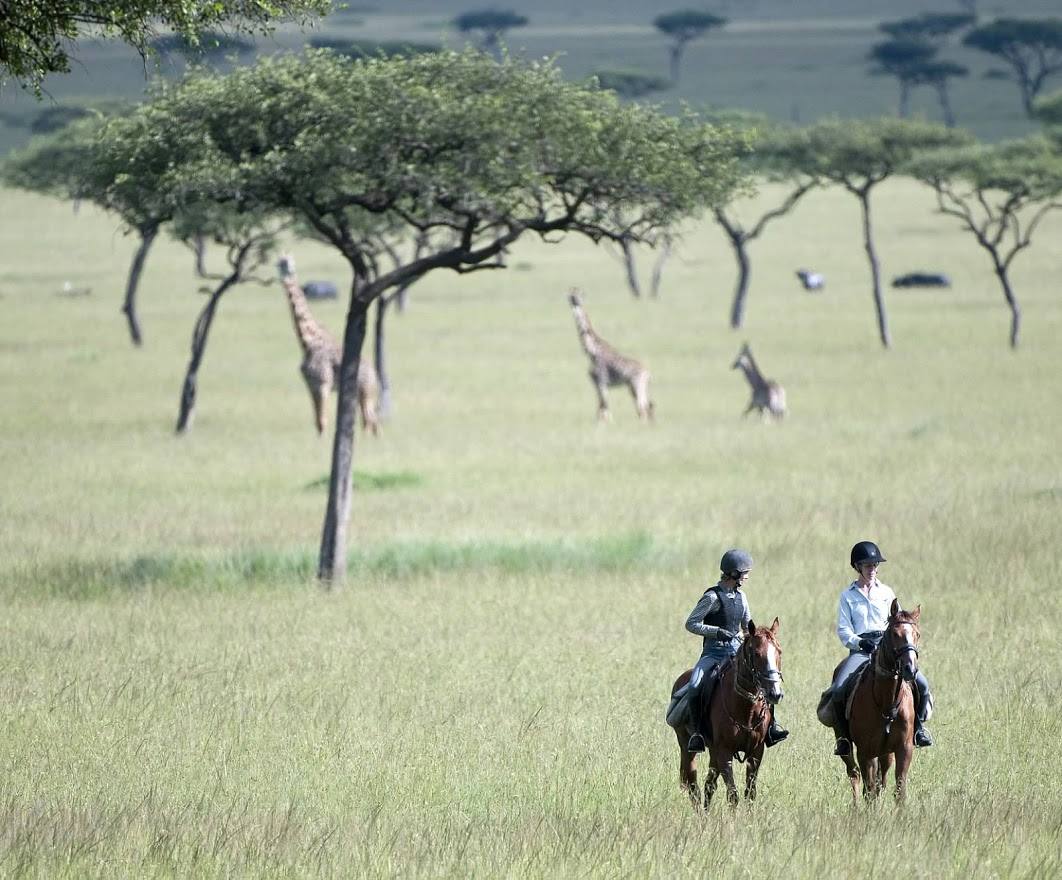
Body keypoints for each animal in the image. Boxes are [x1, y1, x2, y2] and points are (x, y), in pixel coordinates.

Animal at [669, 618, 784, 809]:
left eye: (779, 651)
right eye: (756, 653)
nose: (775, 693)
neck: (746, 709)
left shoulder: (756, 751)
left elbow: (750, 793)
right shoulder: (724, 752)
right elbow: (733, 795)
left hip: (713, 752)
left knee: (709, 784)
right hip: (687, 746)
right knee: (693, 785)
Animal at [841, 599, 922, 804]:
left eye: (917, 634)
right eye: (894, 634)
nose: (910, 669)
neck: (887, 702)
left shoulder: (903, 749)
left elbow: (899, 790)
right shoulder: (866, 751)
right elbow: (869, 790)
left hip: (886, 753)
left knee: (880, 780)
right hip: (850, 749)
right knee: (855, 776)